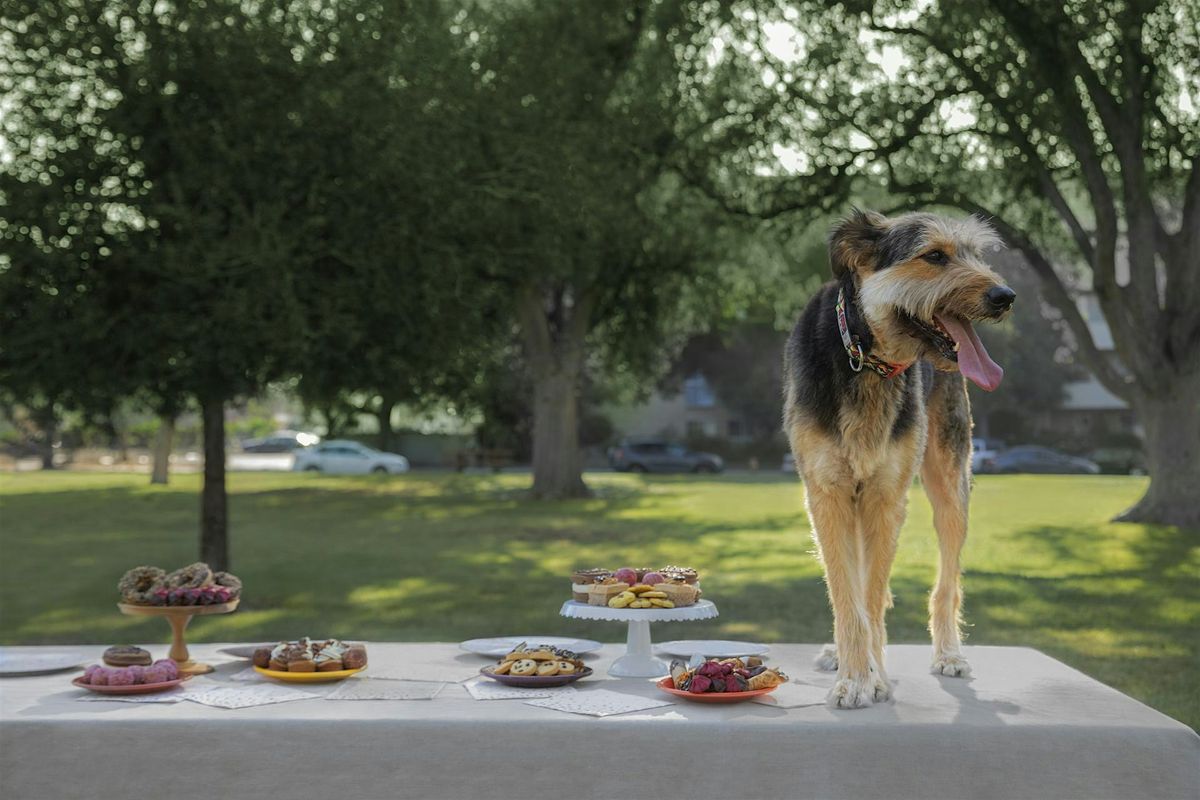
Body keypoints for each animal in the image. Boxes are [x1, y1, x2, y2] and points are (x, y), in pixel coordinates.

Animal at [782, 208, 1017, 705]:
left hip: (951, 485)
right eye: (935, 256)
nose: (1005, 296)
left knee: (946, 583)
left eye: (975, 254)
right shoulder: (827, 492)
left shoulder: (886, 495)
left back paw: (948, 653)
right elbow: (846, 594)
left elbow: (871, 596)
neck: (865, 357)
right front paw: (853, 673)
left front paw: (868, 674)